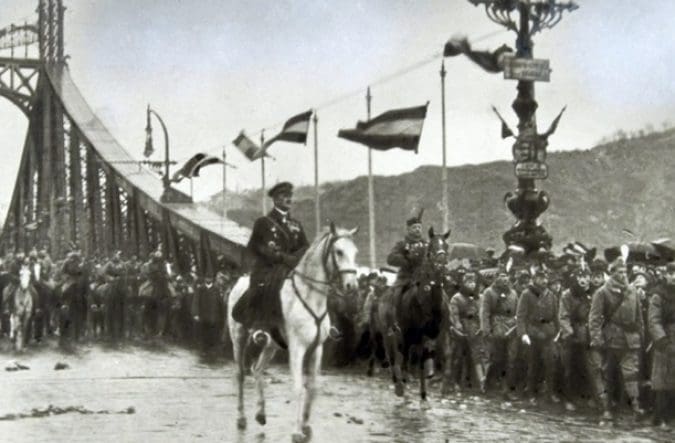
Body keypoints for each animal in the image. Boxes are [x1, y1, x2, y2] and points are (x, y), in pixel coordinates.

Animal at [228, 224, 360, 442]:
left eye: (355, 252)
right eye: (339, 252)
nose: (352, 287)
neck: (311, 296)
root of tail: (240, 281)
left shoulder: (316, 349)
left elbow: (313, 388)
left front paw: (306, 425)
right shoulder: (298, 348)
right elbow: (299, 388)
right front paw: (297, 431)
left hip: (271, 344)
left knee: (257, 369)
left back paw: (261, 413)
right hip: (239, 338)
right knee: (240, 374)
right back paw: (241, 417)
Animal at [372, 227, 452, 400]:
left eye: (446, 246)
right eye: (431, 248)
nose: (441, 264)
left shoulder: (440, 334)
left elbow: (444, 356)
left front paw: (440, 387)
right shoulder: (410, 335)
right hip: (390, 335)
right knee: (394, 357)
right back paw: (399, 385)